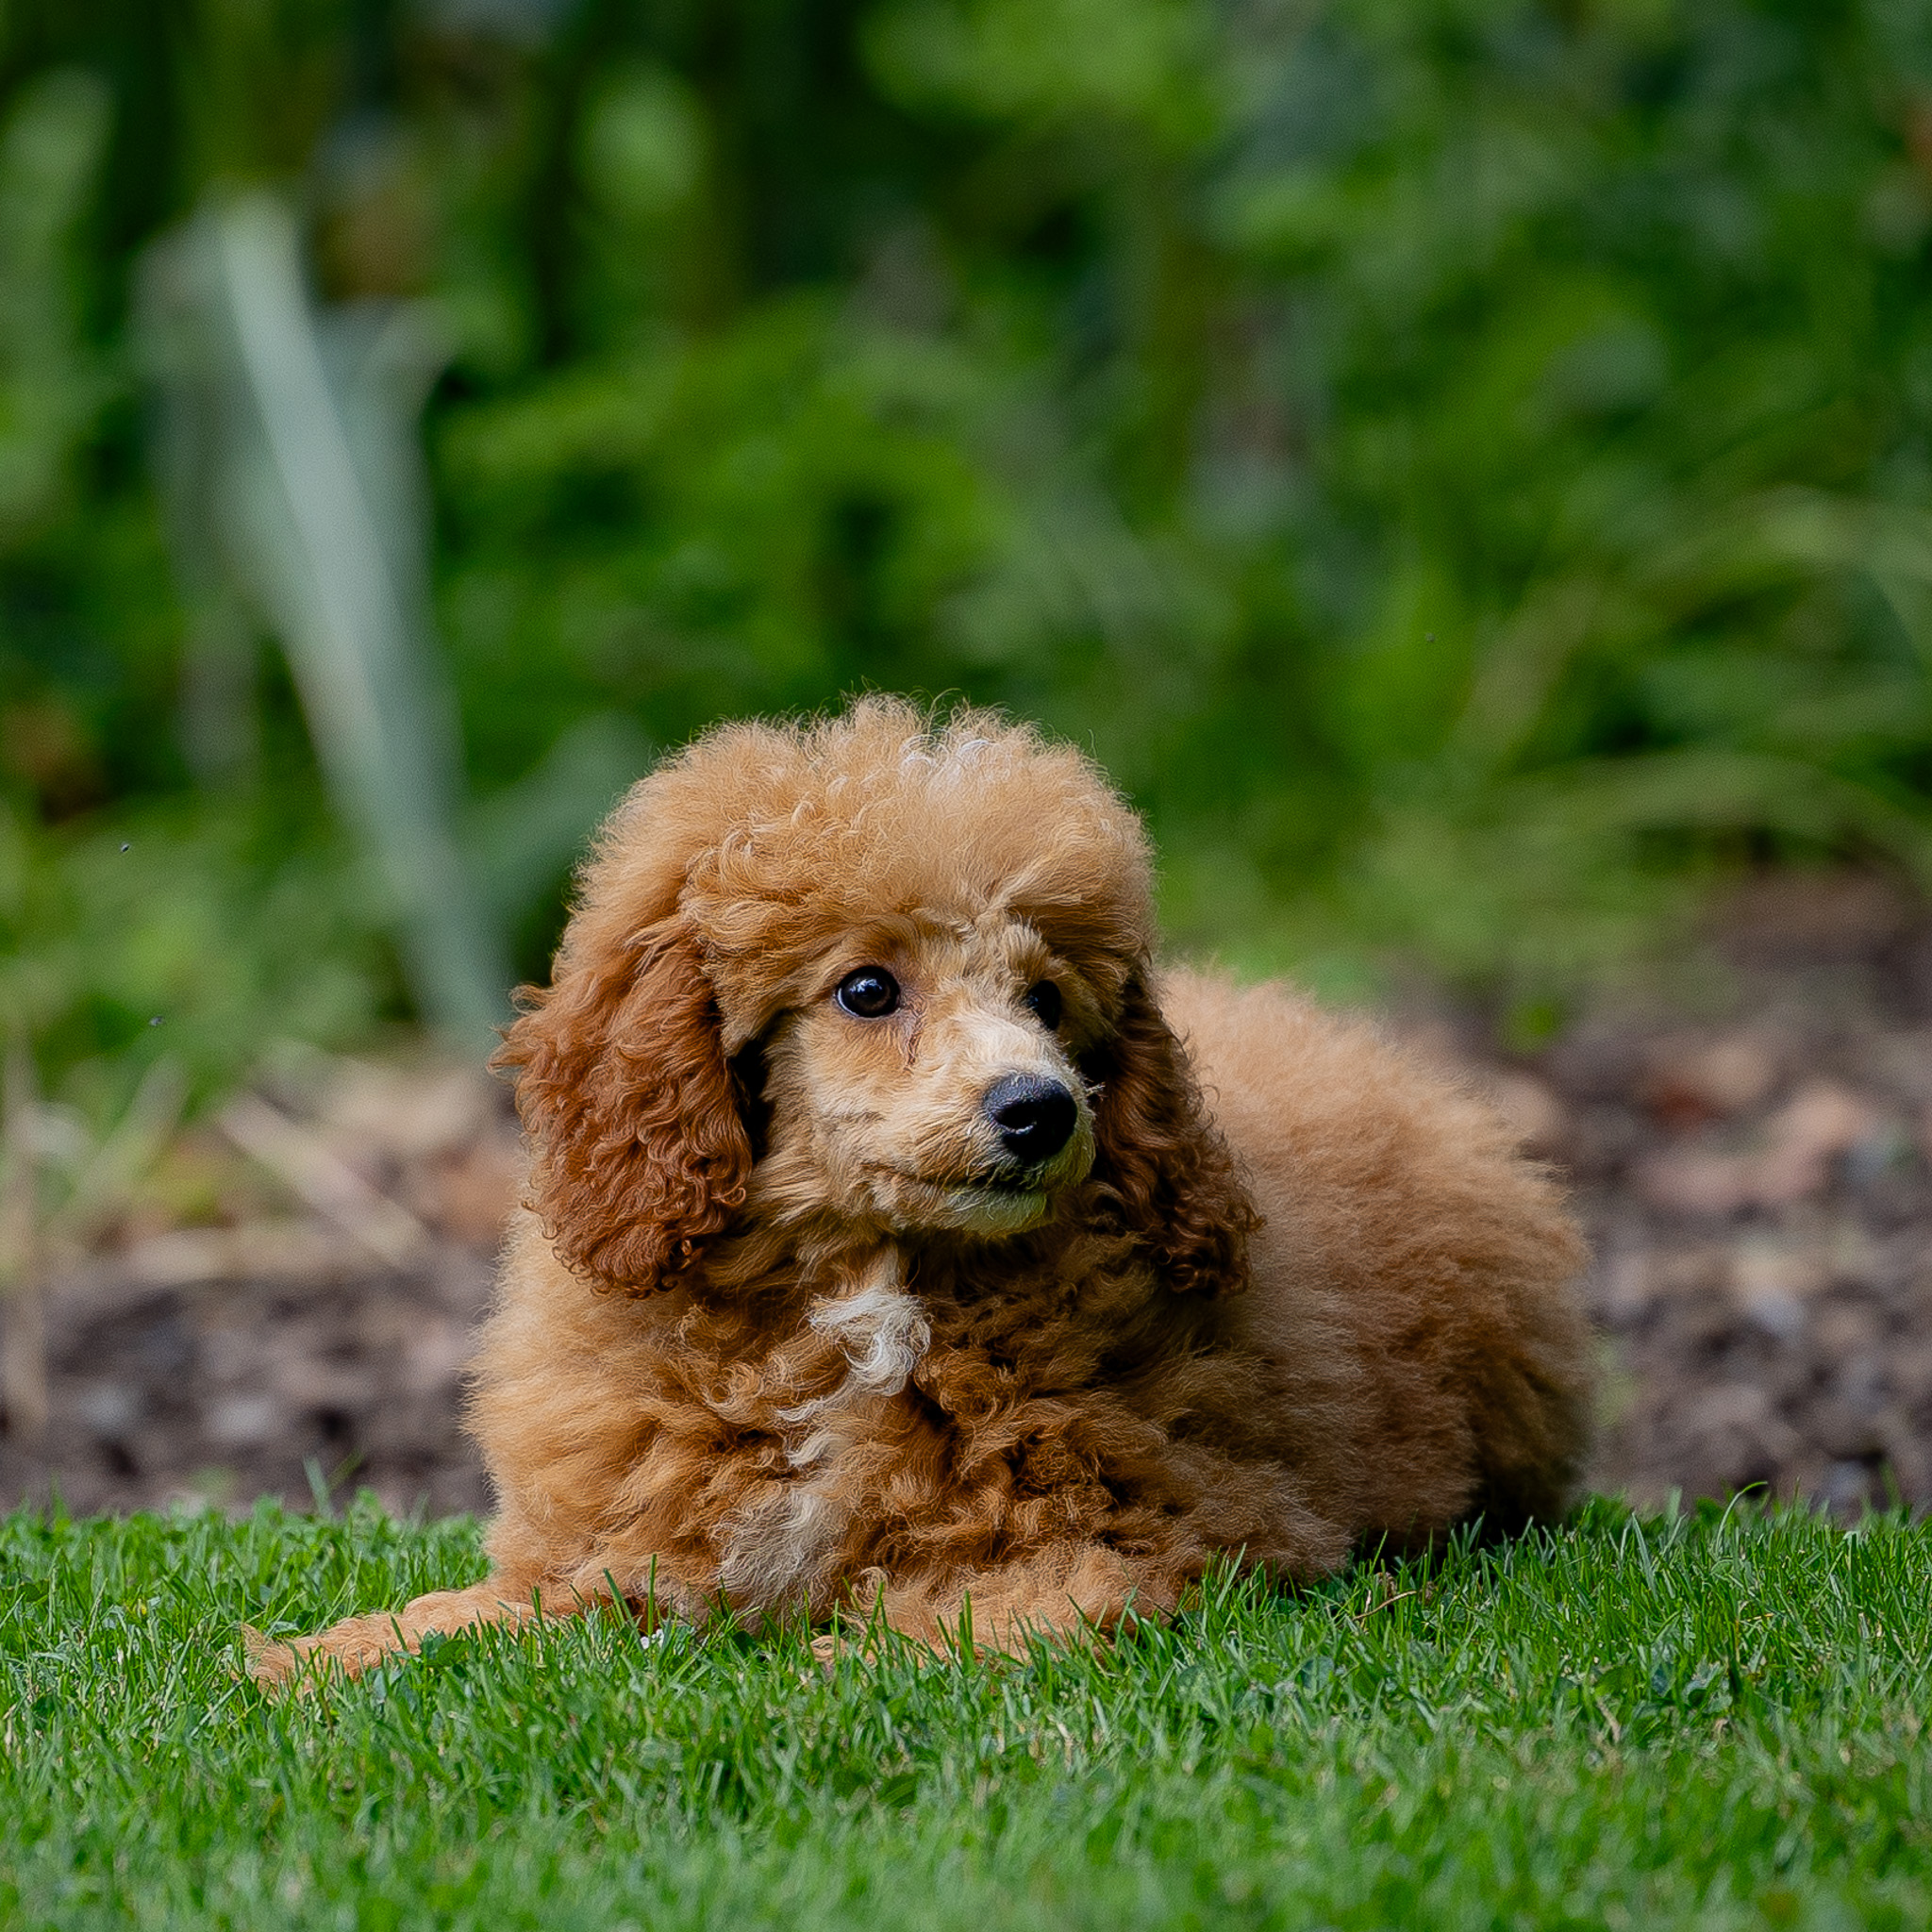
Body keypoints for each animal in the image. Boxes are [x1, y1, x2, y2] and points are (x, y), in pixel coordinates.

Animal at [253, 703, 1584, 1684]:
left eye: (1047, 1000)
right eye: (865, 990)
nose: (1042, 1110)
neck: (868, 1288)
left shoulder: (1187, 1532)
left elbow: (978, 1614)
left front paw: (831, 1670)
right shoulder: (636, 1538)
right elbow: (510, 1603)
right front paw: (326, 1654)